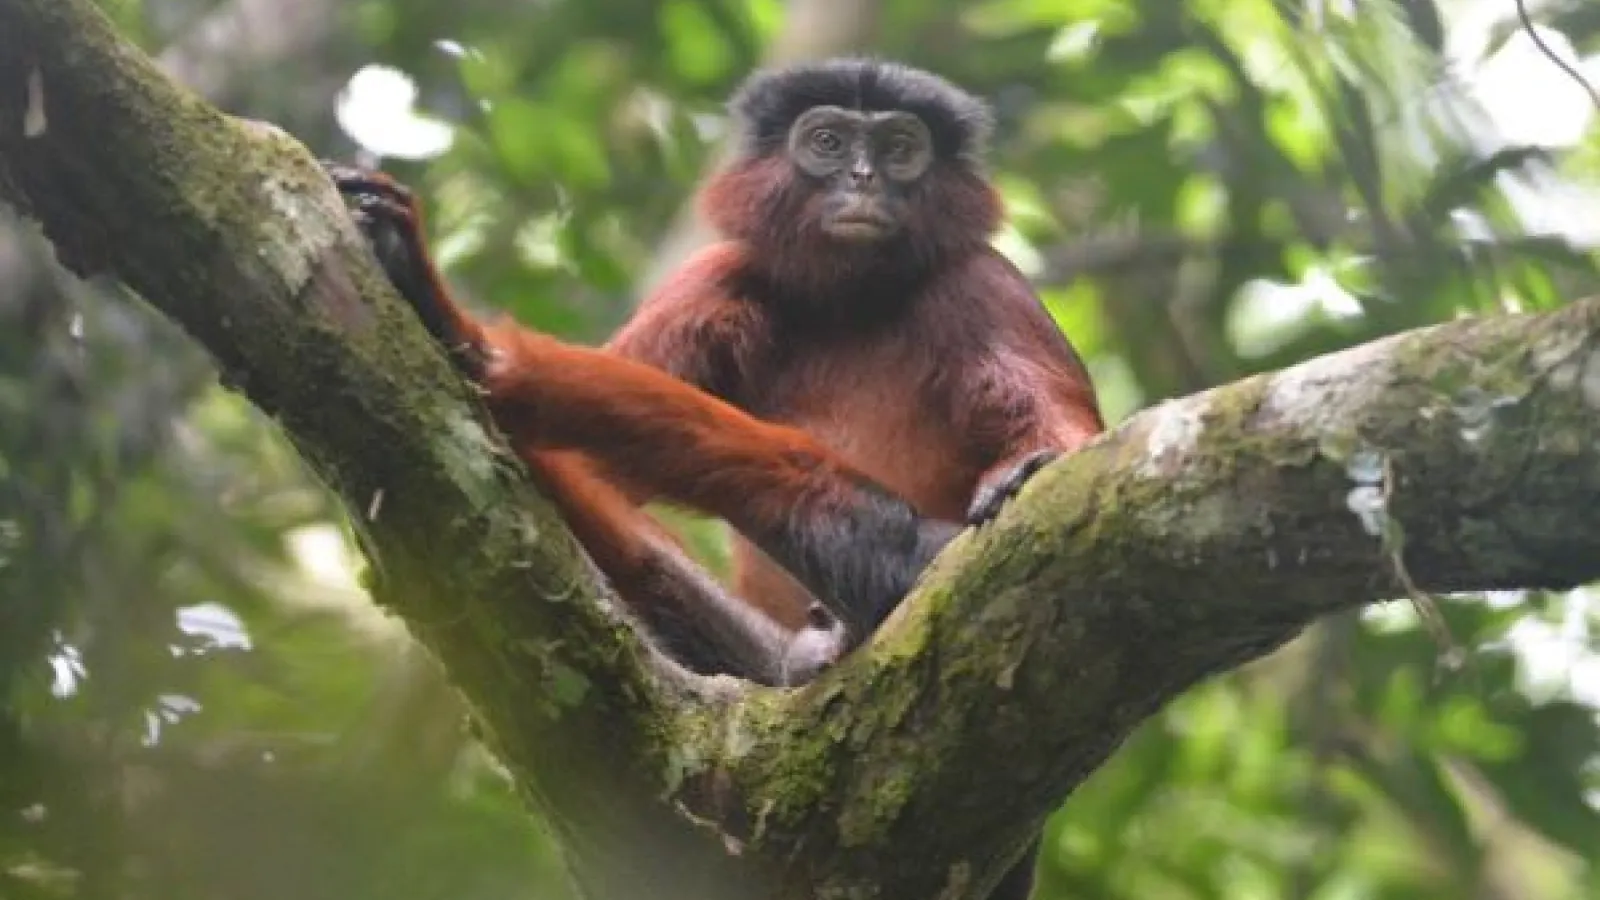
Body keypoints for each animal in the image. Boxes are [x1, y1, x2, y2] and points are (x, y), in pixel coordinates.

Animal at [325, 57, 1104, 899]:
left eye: (900, 149)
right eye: (828, 143)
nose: (864, 178)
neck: (852, 302)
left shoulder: (980, 278)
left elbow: (1069, 457)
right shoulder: (719, 278)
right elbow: (590, 471)